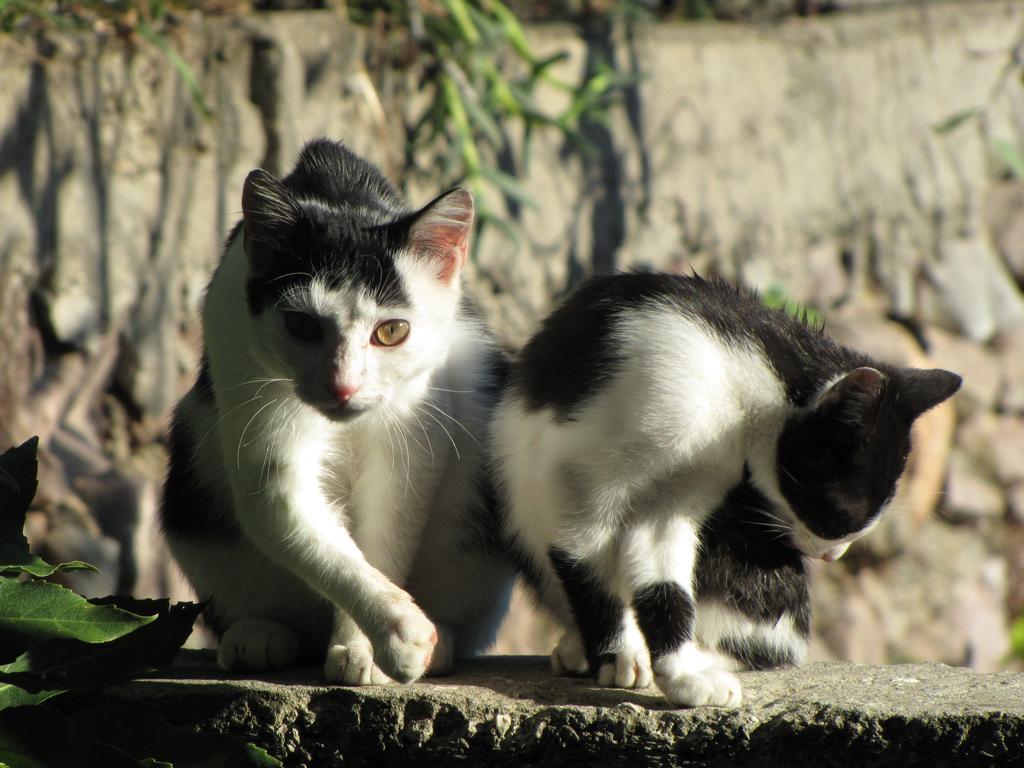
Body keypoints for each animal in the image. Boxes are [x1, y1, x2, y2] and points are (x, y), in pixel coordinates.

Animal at [163, 138, 516, 684]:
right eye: (302, 326)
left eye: (392, 331)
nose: (344, 385)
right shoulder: (243, 377)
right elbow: (304, 531)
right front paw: (397, 632)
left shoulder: (414, 436)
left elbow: (385, 535)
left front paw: (366, 649)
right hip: (191, 462)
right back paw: (259, 634)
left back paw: (442, 640)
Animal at [491, 274, 962, 708]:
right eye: (836, 511)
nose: (833, 556)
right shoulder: (573, 478)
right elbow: (584, 559)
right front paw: (618, 651)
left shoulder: (679, 495)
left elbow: (664, 581)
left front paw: (683, 673)